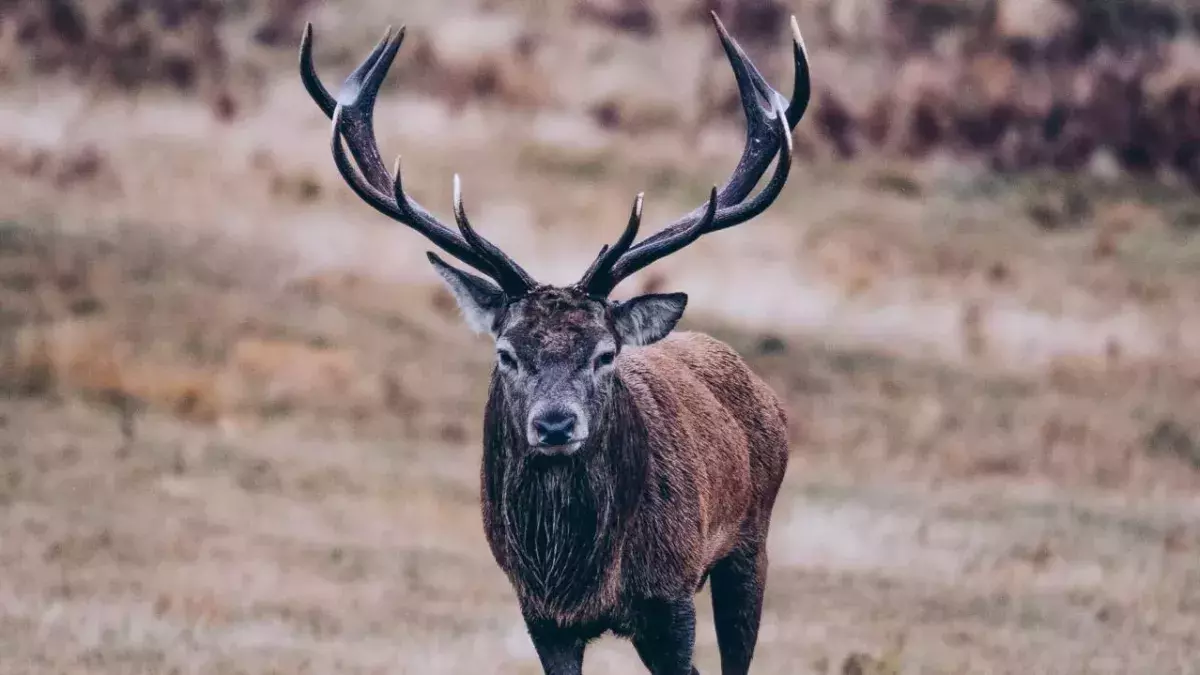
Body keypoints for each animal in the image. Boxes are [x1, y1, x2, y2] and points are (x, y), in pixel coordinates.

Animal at [299, 11, 809, 675]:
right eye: (507, 353)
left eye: (605, 354)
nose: (556, 424)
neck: (579, 578)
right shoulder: (541, 616)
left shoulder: (670, 600)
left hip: (750, 544)